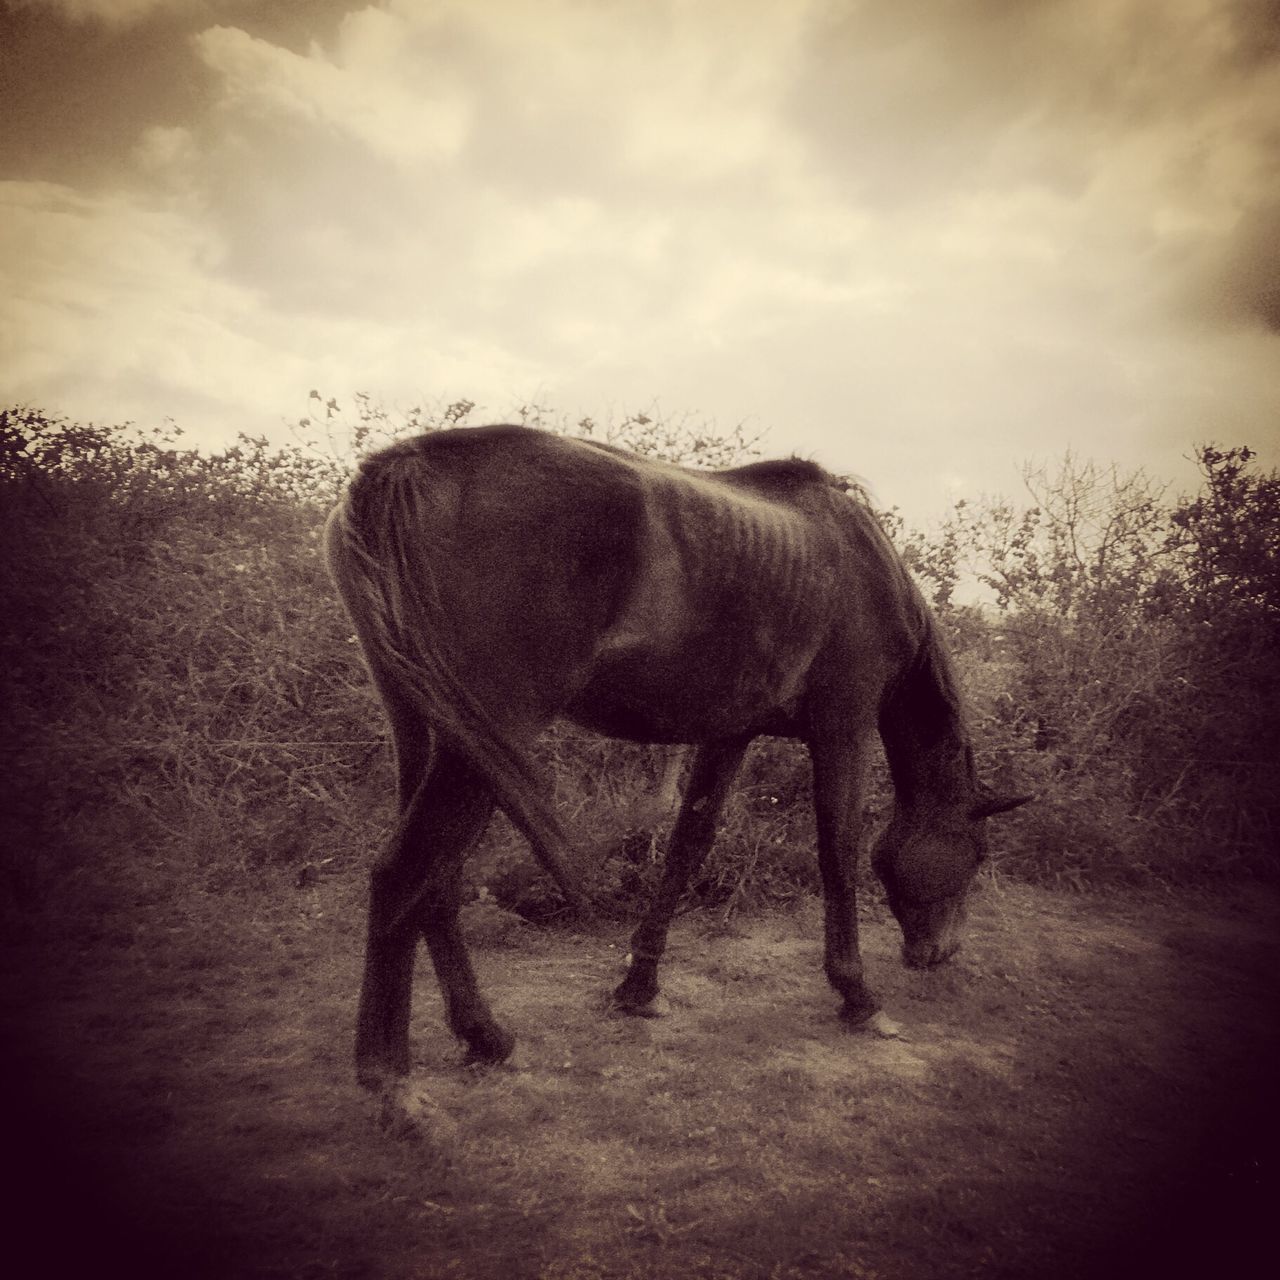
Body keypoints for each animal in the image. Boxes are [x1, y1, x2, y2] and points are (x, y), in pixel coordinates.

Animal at [322, 424, 1029, 1085]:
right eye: (977, 852)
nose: (940, 953)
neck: (866, 565)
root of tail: (401, 467)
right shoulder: (844, 730)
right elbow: (839, 856)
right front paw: (857, 996)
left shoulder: (729, 734)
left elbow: (688, 846)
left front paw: (640, 988)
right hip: (484, 743)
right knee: (405, 875)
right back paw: (387, 1074)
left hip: (429, 733)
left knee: (434, 885)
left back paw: (484, 1037)